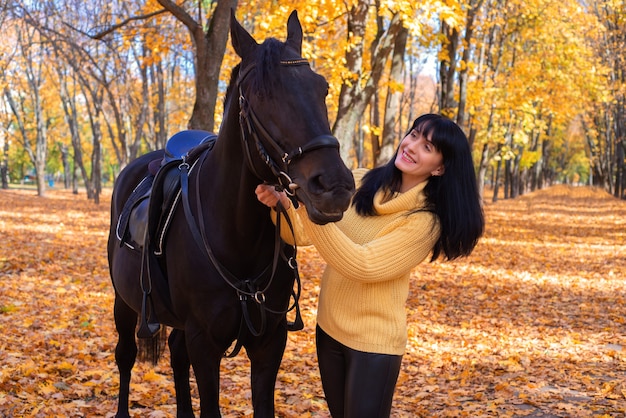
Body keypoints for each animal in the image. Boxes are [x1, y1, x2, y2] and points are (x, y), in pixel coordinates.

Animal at [105, 9, 354, 418]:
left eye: (322, 88)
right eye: (260, 95)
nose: (334, 186)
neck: (238, 235)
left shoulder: (269, 343)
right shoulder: (205, 344)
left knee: (175, 355)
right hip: (124, 303)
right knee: (125, 356)